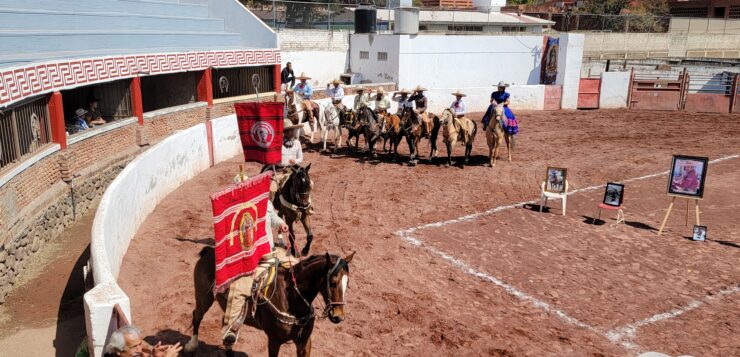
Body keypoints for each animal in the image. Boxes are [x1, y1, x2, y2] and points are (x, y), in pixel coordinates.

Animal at [185, 248, 358, 356]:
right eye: (333, 283)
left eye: (347, 282)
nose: (338, 316)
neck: (292, 299)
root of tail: (208, 251)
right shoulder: (274, 341)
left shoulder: (304, 342)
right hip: (203, 297)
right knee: (197, 315)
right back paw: (191, 345)